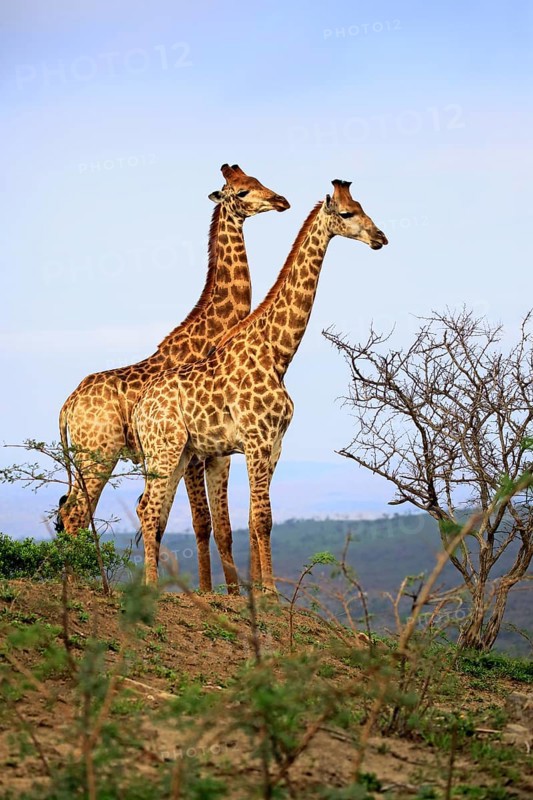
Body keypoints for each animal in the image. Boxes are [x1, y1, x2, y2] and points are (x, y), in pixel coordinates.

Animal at [57, 164, 290, 593]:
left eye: (258, 179)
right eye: (243, 191)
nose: (281, 201)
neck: (212, 331)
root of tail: (67, 406)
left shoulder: (208, 451)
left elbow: (214, 525)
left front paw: (227, 592)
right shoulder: (200, 452)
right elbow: (204, 522)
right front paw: (214, 591)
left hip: (87, 458)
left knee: (68, 510)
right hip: (99, 454)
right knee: (75, 513)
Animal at [132, 179, 388, 588]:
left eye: (364, 207)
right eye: (347, 213)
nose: (380, 237)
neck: (278, 354)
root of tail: (140, 407)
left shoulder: (276, 444)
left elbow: (256, 520)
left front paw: (262, 590)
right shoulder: (256, 439)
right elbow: (263, 519)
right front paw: (268, 591)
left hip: (178, 453)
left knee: (149, 509)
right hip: (165, 449)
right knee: (151, 509)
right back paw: (151, 589)